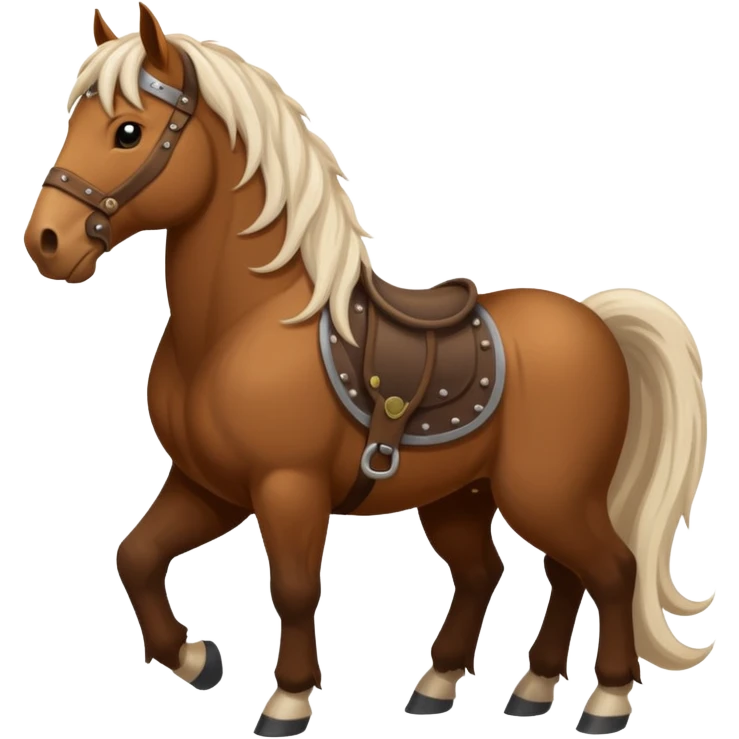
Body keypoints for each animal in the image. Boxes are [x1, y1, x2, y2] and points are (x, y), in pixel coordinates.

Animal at [23, 5, 714, 736]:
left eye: (128, 131)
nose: (46, 242)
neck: (245, 323)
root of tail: (595, 321)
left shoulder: (287, 487)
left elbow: (294, 588)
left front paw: (287, 699)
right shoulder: (208, 485)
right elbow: (136, 555)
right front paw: (195, 658)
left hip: (548, 493)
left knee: (608, 569)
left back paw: (604, 700)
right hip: (466, 496)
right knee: (509, 571)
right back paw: (483, 687)